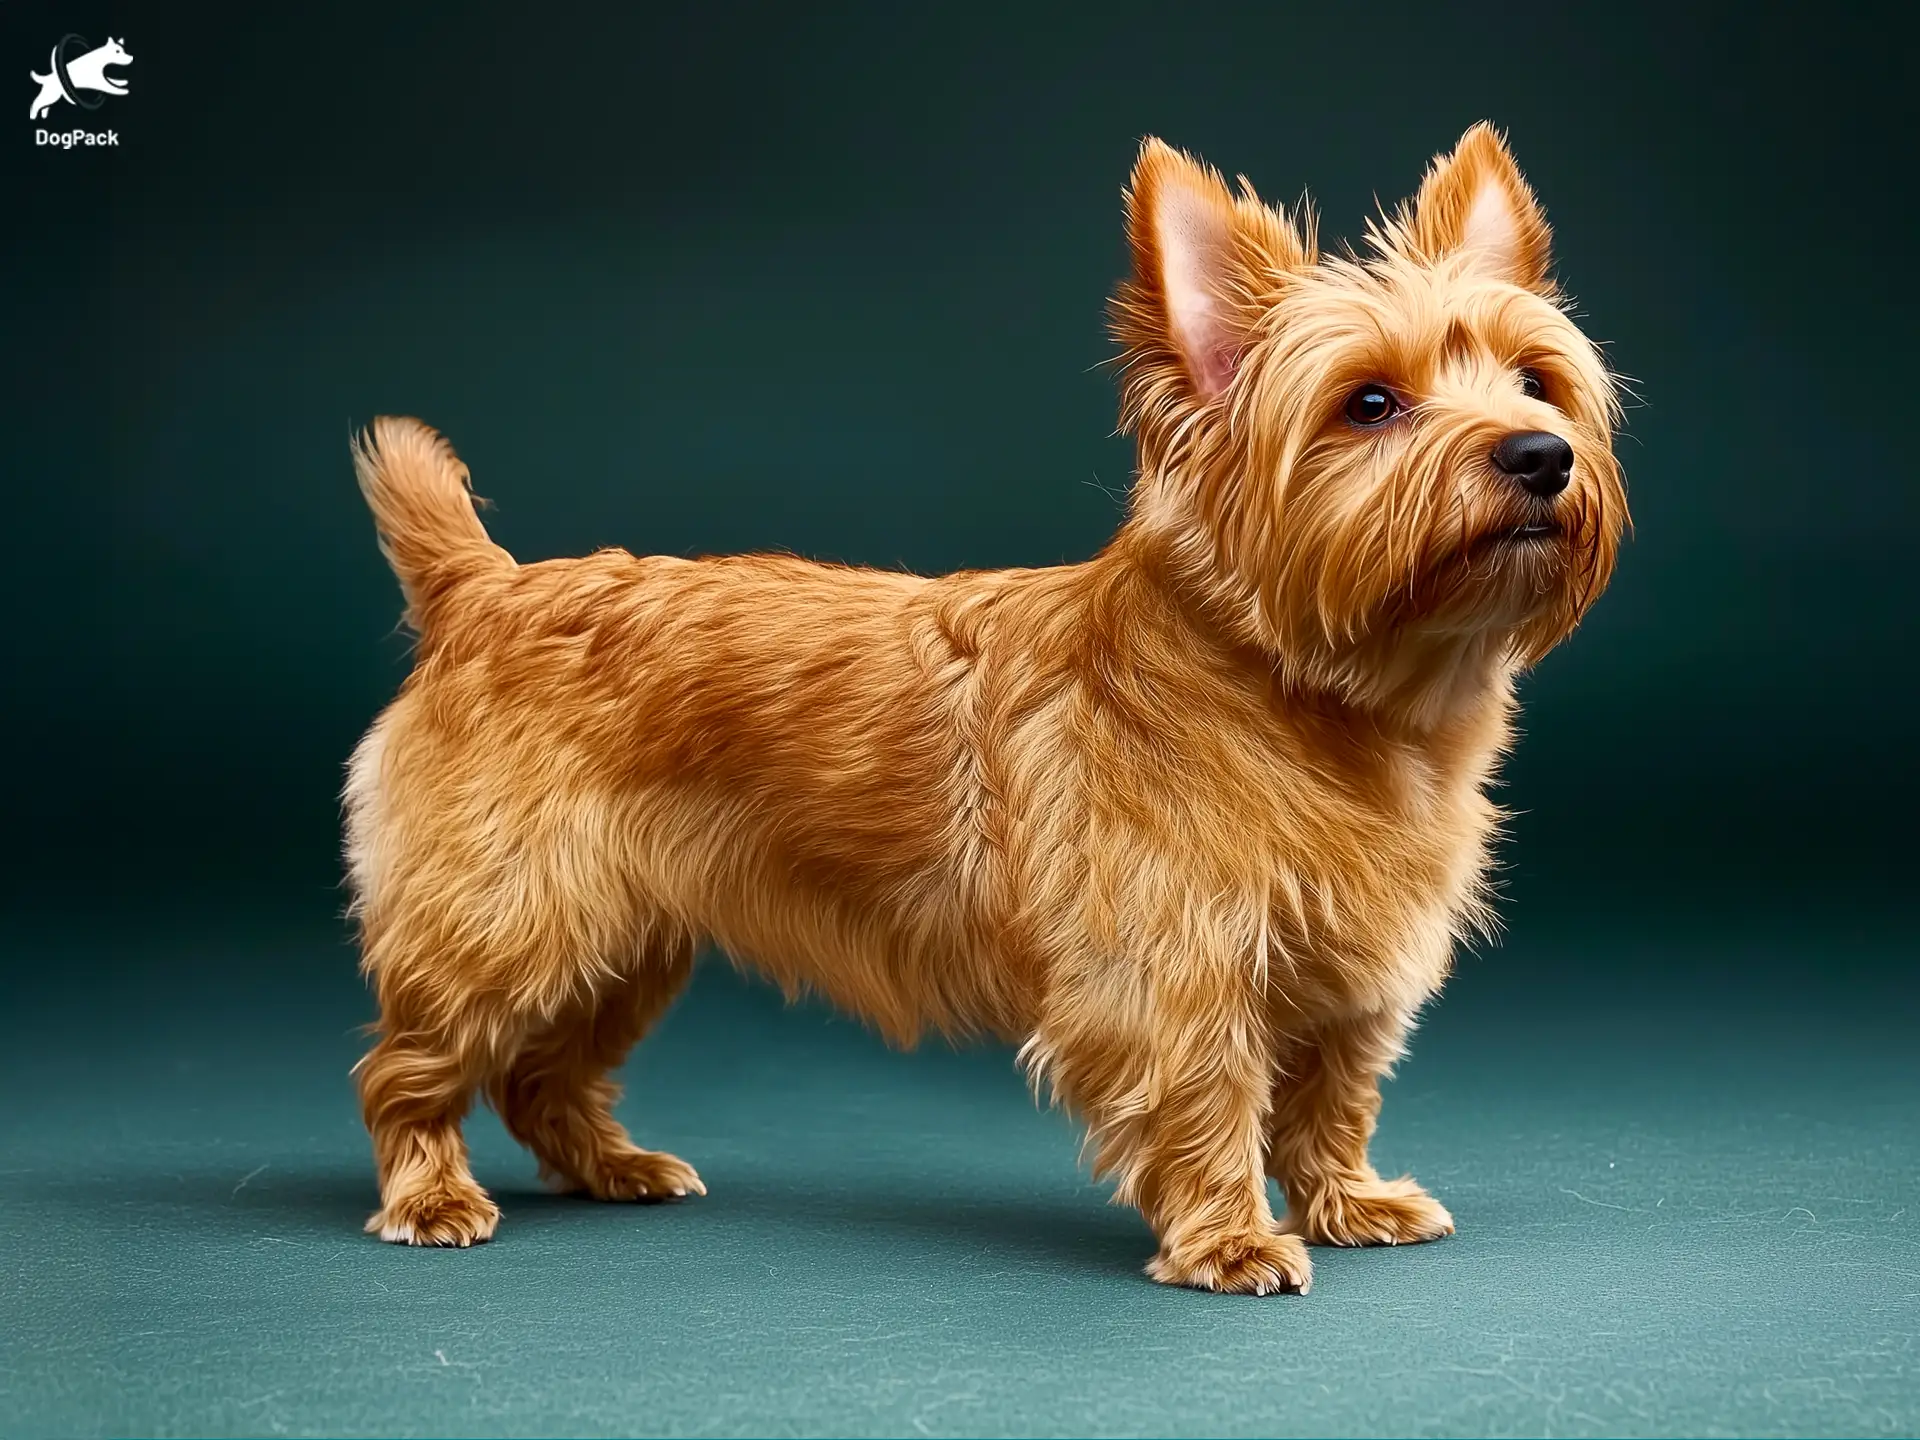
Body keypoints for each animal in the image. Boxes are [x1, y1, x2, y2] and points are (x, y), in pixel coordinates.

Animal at [341, 123, 1620, 1297]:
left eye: (1533, 380)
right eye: (1370, 403)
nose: (1540, 454)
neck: (1318, 696)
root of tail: (485, 586)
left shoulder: (1356, 969)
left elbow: (1334, 1092)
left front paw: (1347, 1200)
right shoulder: (1174, 972)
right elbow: (1212, 1090)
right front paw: (1231, 1238)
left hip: (625, 937)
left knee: (543, 1074)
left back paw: (613, 1167)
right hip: (507, 920)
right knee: (411, 1069)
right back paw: (431, 1195)